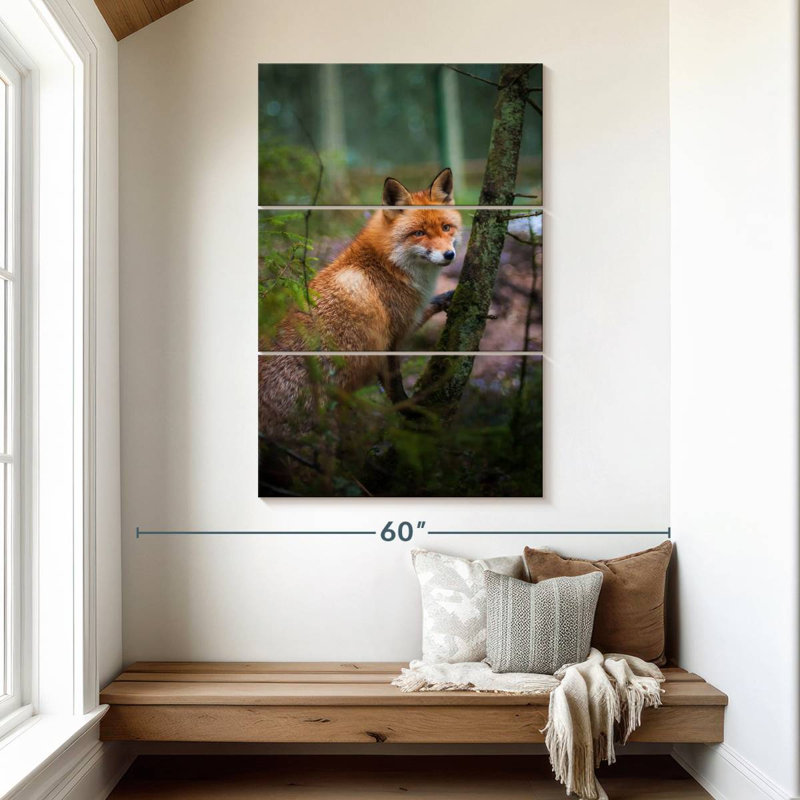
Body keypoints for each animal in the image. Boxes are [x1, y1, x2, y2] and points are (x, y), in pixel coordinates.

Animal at [259, 168, 461, 438]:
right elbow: (395, 387)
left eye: (446, 227)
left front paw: (448, 297)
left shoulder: (407, 321)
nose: (449, 255)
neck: (387, 265)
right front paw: (411, 411)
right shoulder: (390, 337)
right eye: (419, 233)